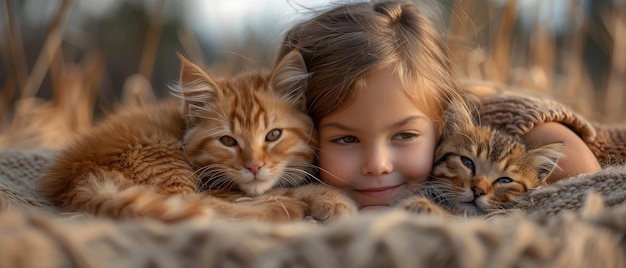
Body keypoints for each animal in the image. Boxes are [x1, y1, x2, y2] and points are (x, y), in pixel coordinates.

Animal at [40, 51, 356, 223]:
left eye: (273, 135)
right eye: (228, 141)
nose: (254, 167)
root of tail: (75, 176)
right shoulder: (219, 186)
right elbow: (287, 189)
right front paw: (335, 201)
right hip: (163, 158)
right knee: (197, 208)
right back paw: (282, 210)